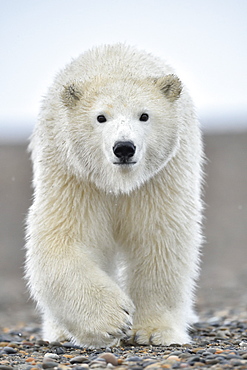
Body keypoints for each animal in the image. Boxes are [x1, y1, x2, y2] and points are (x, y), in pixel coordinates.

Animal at [25, 43, 204, 346]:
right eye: (101, 117)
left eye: (144, 115)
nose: (124, 147)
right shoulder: (76, 178)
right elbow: (65, 239)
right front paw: (113, 319)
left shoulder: (158, 179)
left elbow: (160, 240)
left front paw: (153, 331)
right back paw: (59, 332)